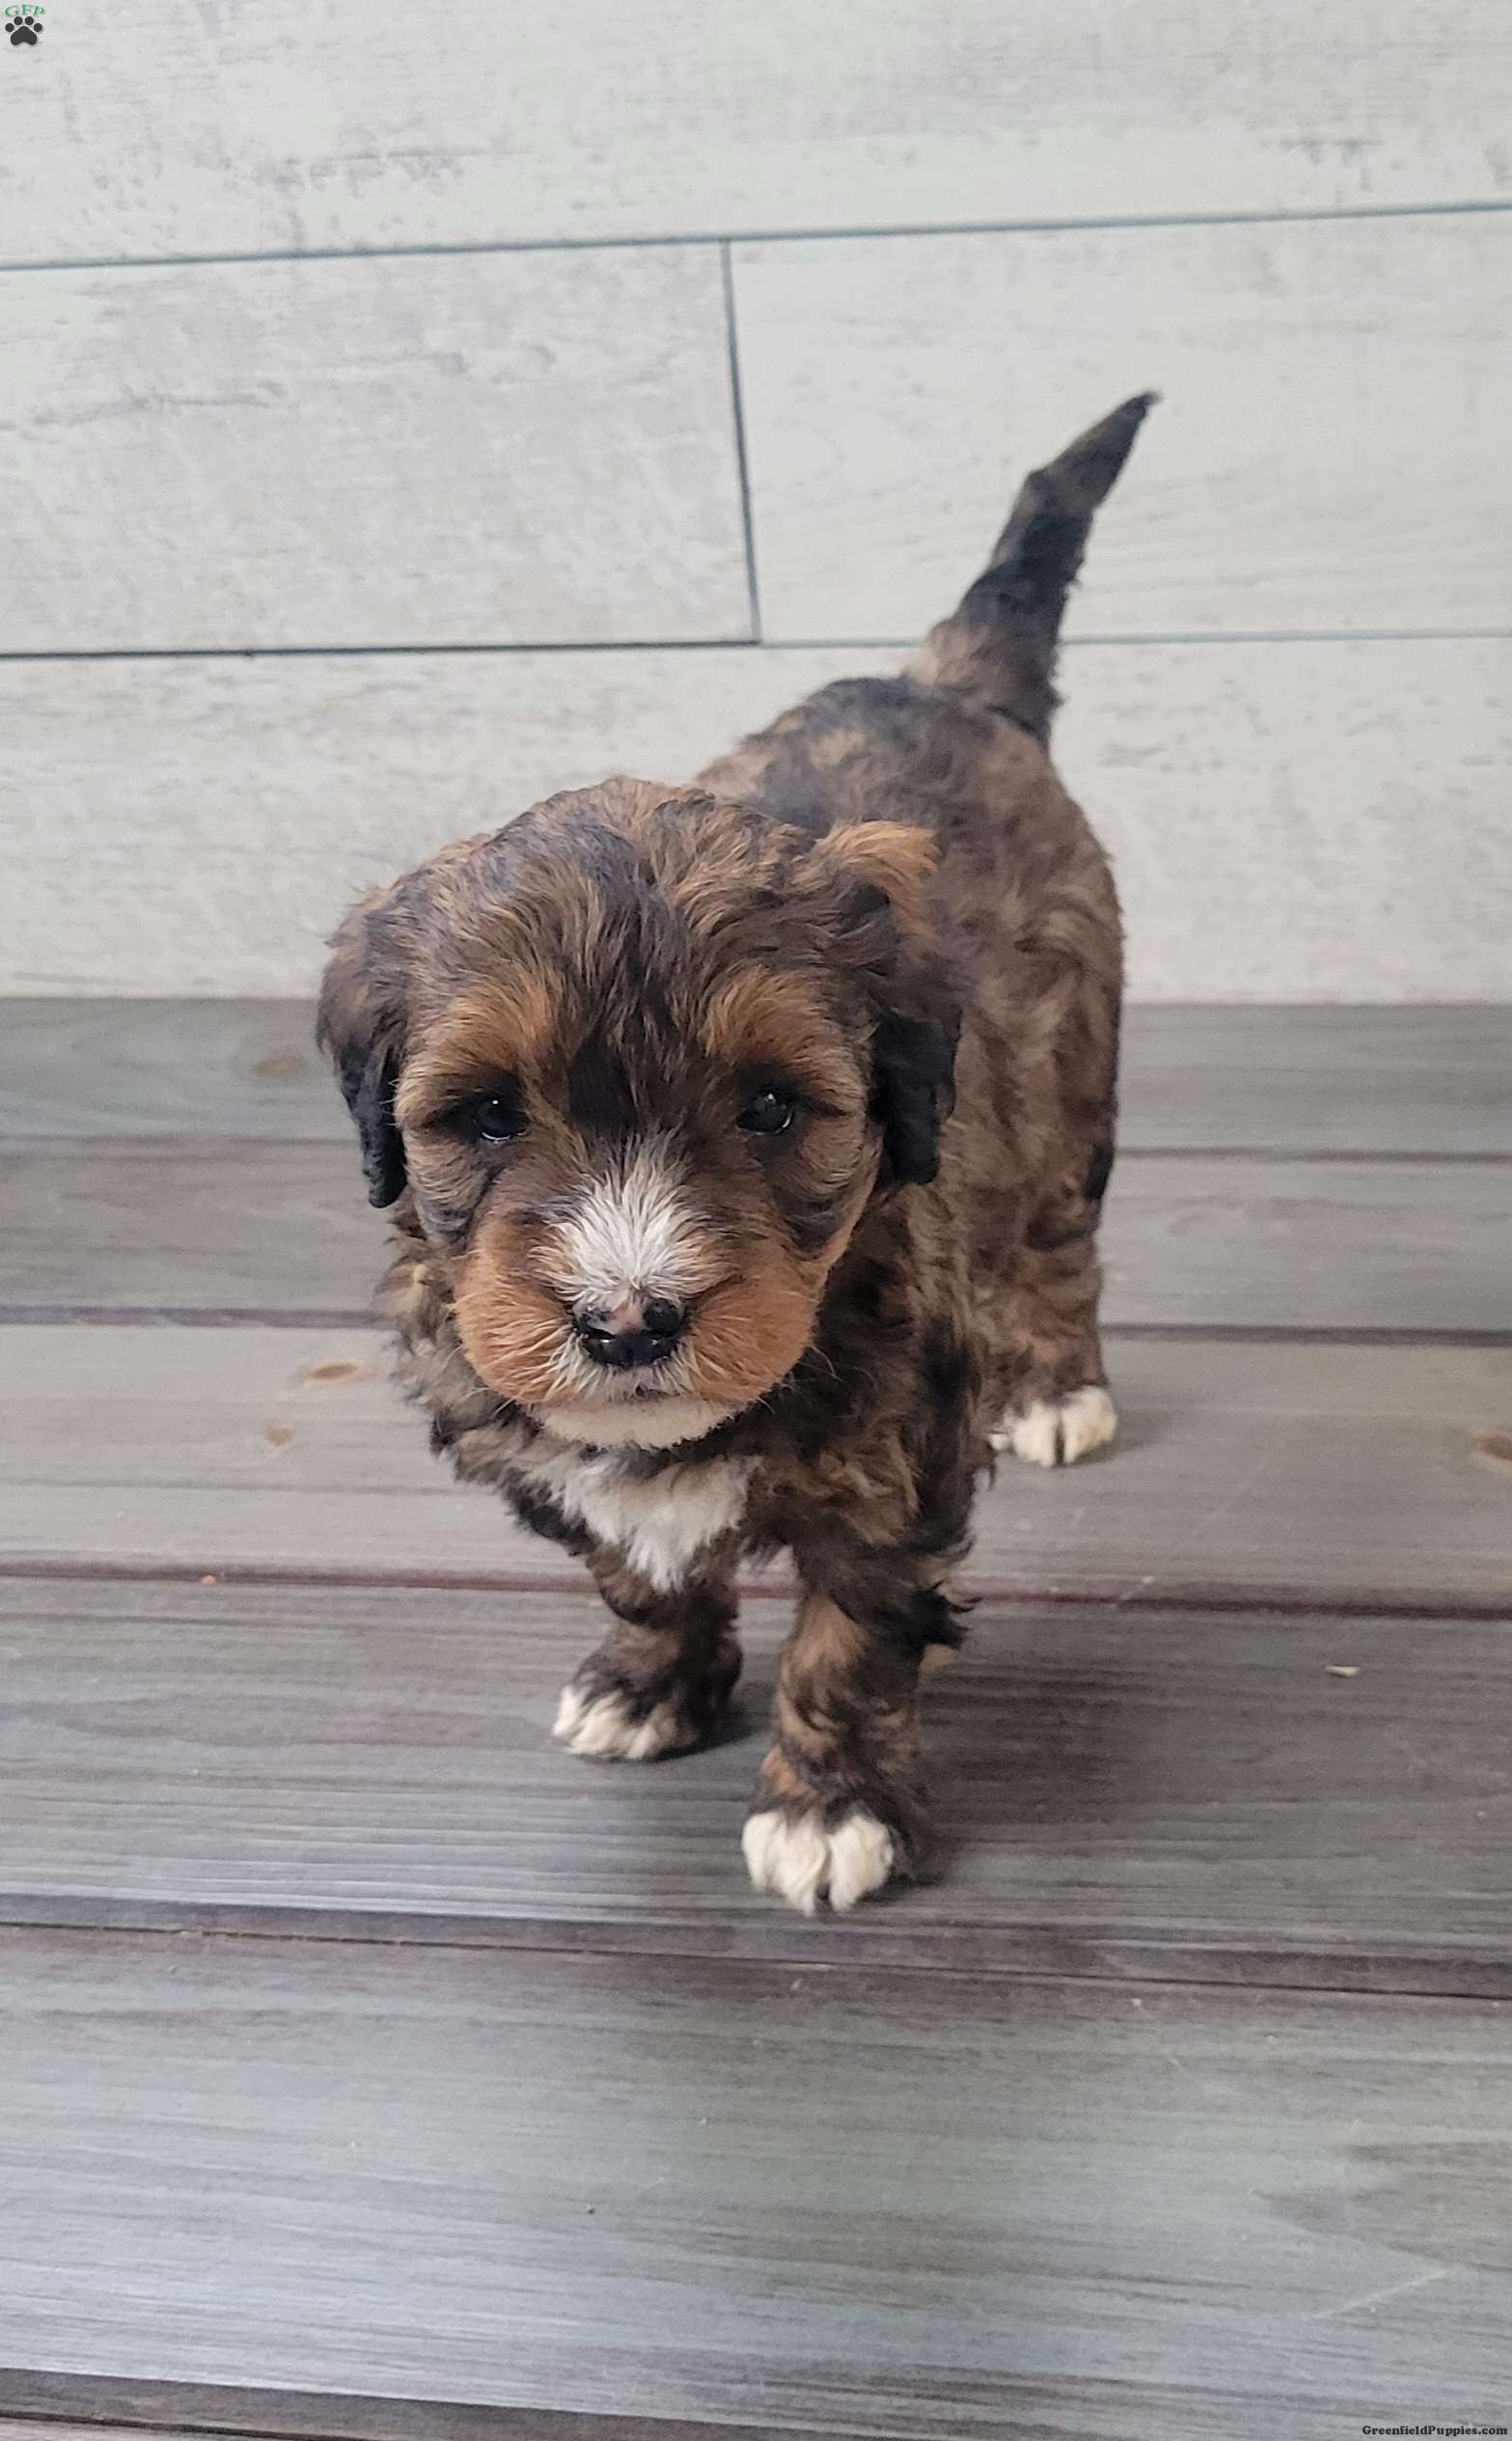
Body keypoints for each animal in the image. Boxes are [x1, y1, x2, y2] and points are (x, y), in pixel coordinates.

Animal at [319, 394, 1150, 1914]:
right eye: (484, 1116)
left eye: (770, 1109)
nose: (627, 1319)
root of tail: (942, 684)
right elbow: (636, 1569)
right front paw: (650, 1682)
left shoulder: (897, 1453)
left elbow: (852, 1634)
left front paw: (829, 1809)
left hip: (1072, 1087)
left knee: (1058, 1247)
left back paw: (1060, 1387)